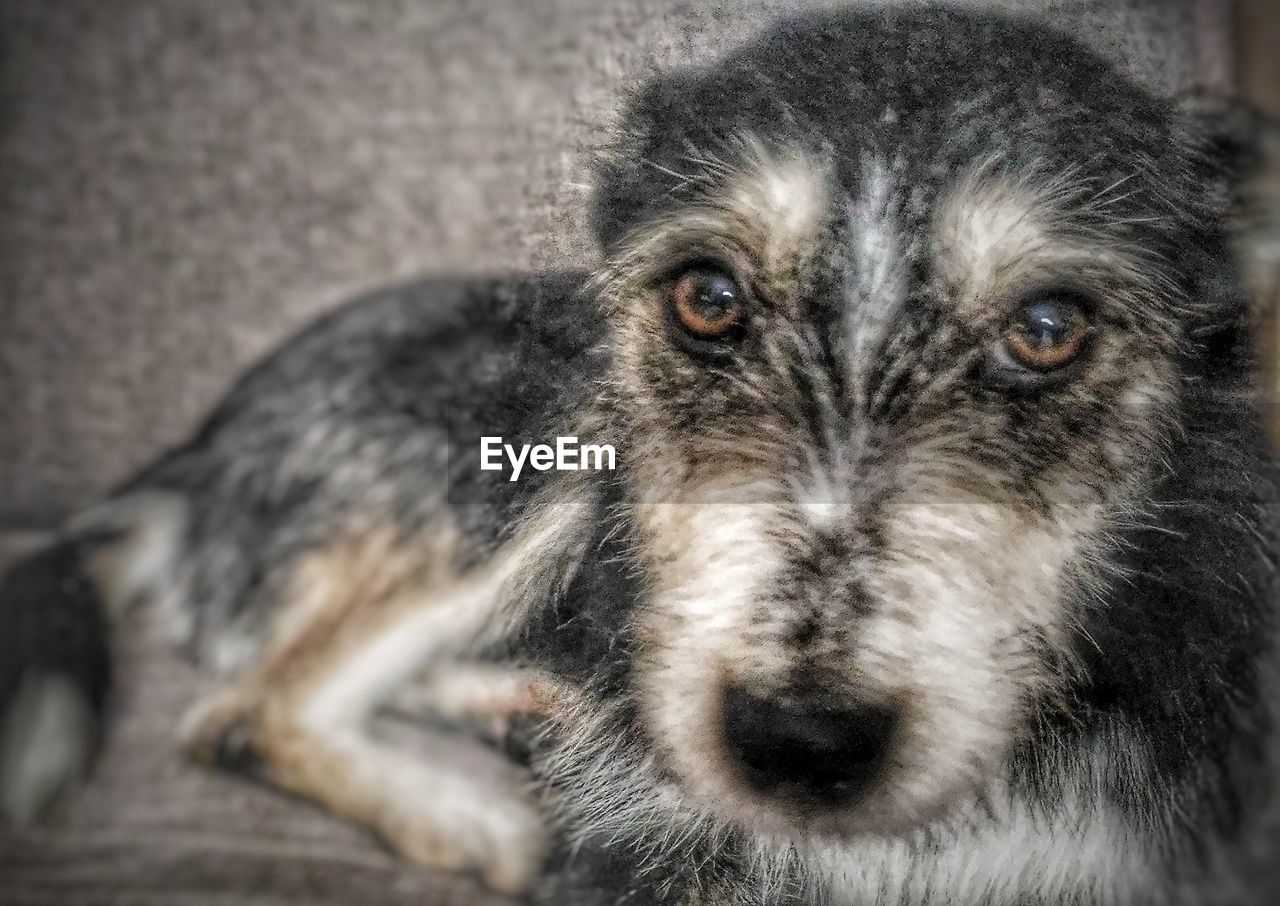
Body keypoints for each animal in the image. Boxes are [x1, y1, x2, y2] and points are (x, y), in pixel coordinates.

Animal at [2, 7, 1280, 906]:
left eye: (1046, 328)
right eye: (705, 299)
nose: (796, 745)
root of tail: (200, 449)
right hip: (525, 450)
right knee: (243, 710)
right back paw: (460, 806)